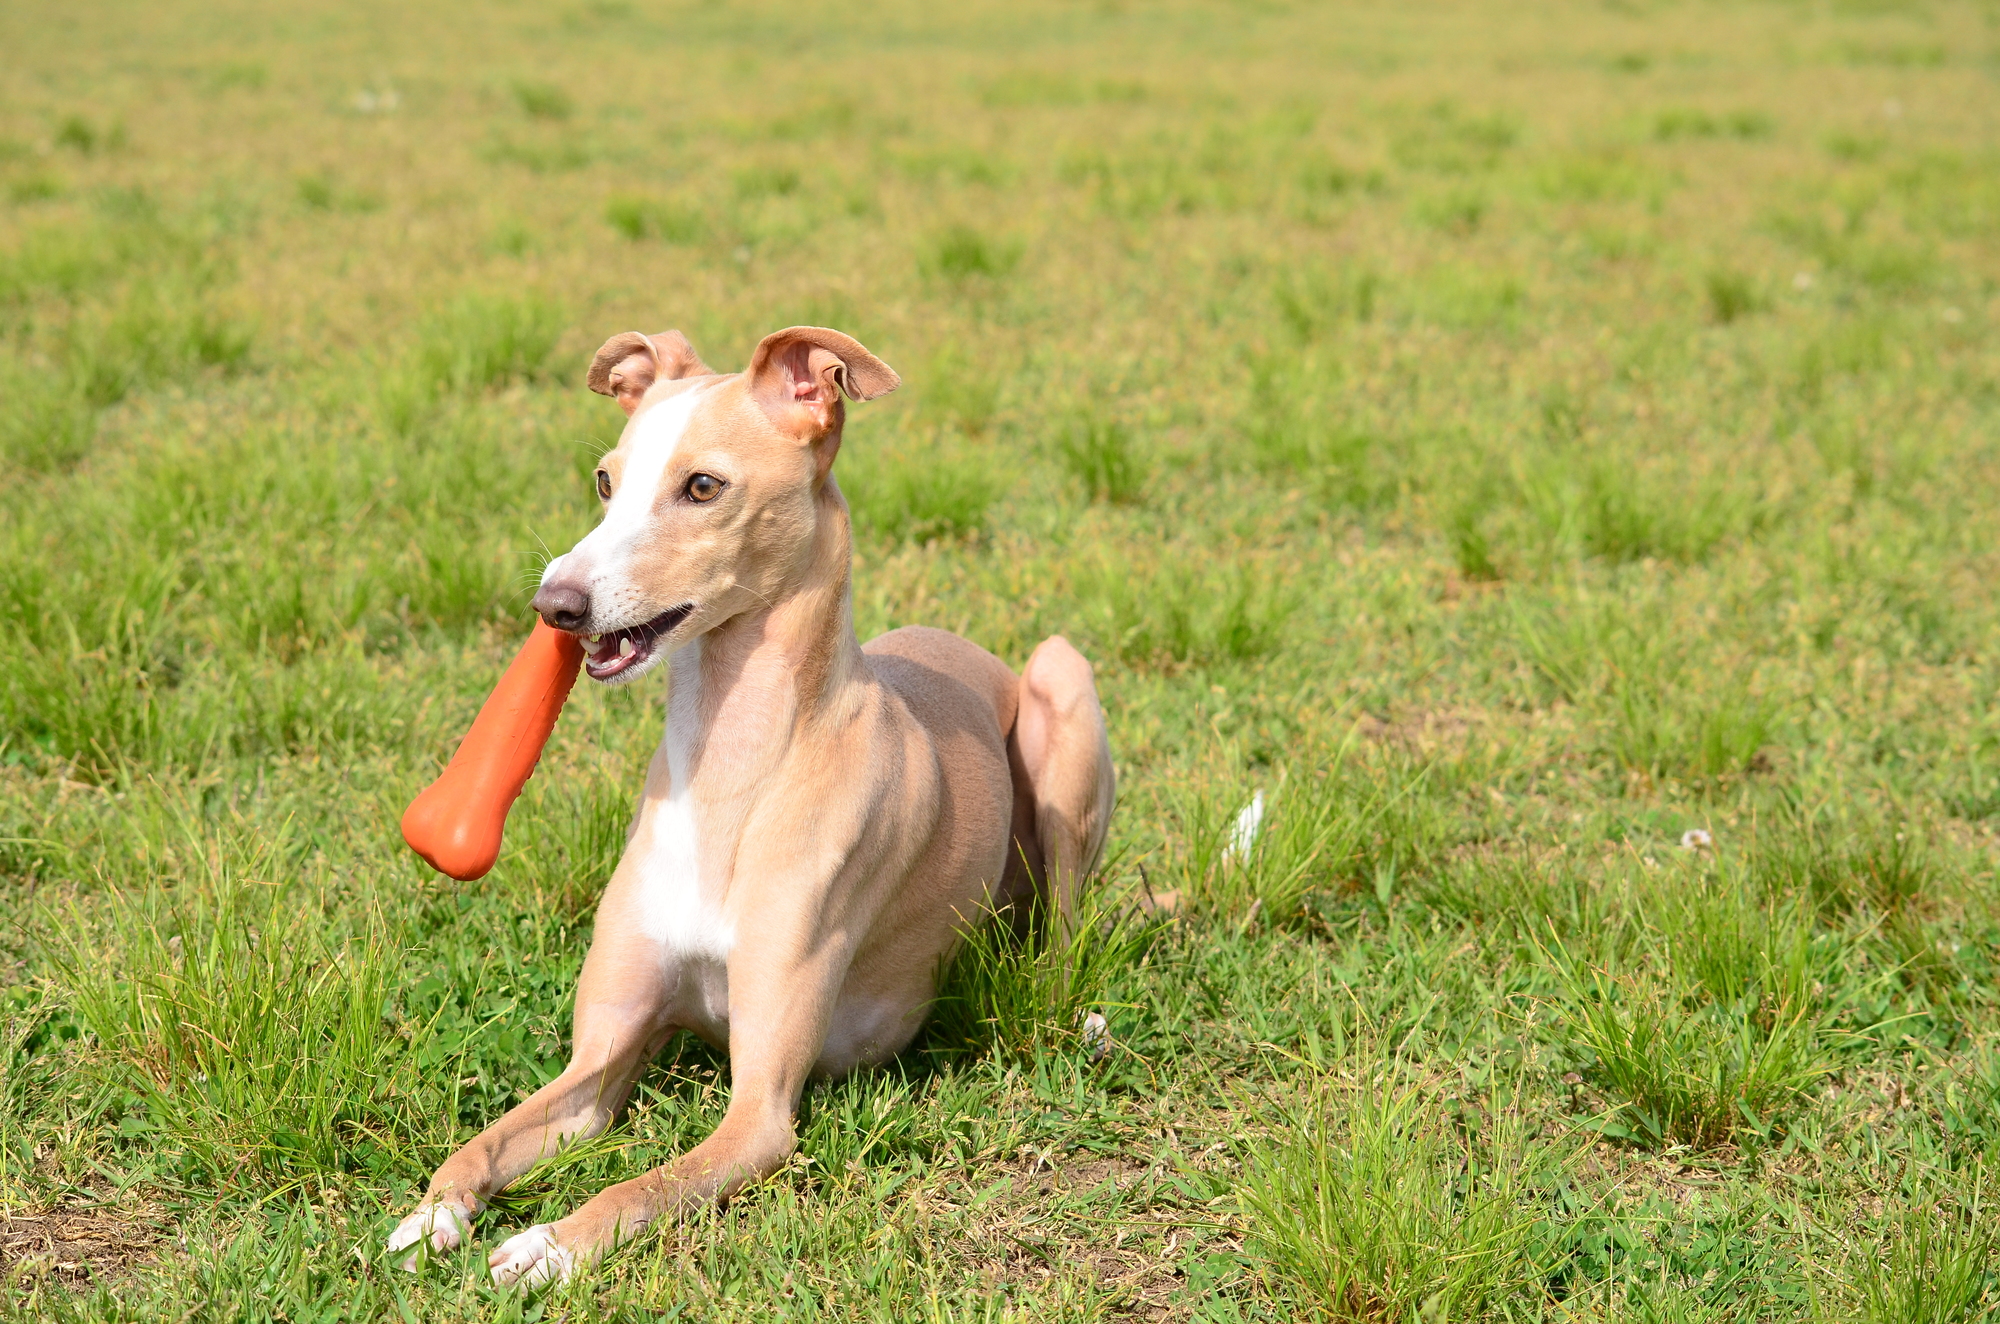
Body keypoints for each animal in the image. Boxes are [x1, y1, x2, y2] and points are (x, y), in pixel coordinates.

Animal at [382, 322, 1120, 1288]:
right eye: (605, 481)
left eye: (703, 486)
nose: (556, 605)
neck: (729, 772)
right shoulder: (602, 1061)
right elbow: (493, 1138)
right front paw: (433, 1210)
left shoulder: (760, 1112)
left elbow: (642, 1187)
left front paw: (548, 1245)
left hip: (1061, 682)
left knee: (1064, 932)